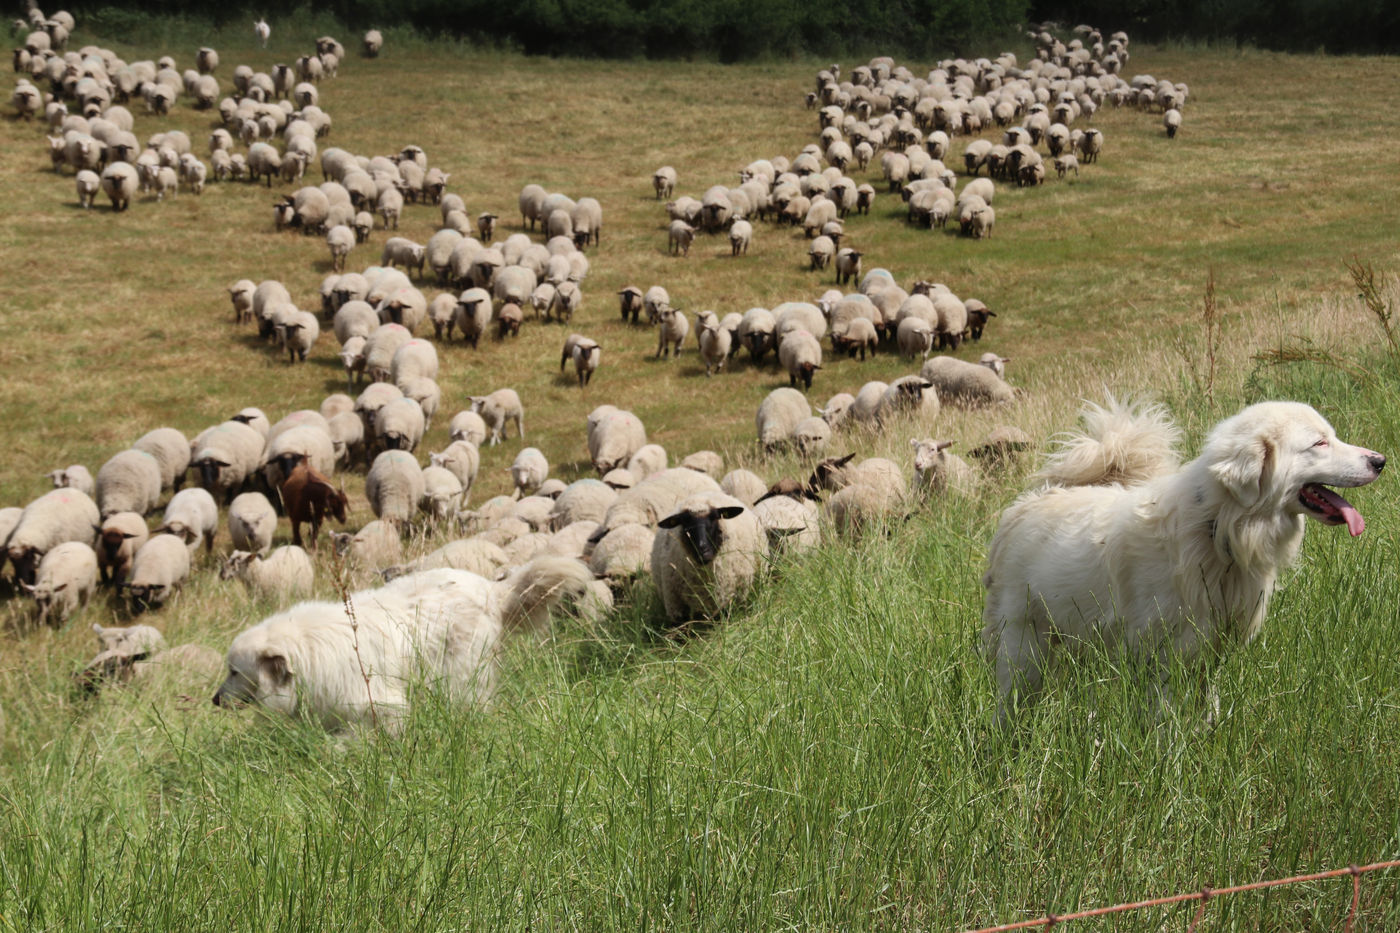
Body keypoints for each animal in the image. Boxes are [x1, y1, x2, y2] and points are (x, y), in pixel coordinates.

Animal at [212, 551, 596, 728]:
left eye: (234, 672)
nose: (214, 701)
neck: (309, 652)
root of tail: (492, 590)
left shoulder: (384, 708)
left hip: (461, 680)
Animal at [980, 395, 1383, 722]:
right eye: (1319, 443)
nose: (1380, 460)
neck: (1218, 530)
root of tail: (1025, 506)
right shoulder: (1165, 655)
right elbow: (1166, 721)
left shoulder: (1211, 651)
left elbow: (1208, 708)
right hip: (1024, 648)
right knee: (1010, 706)